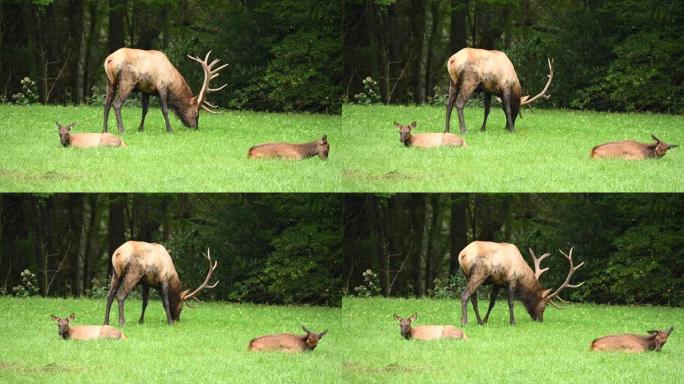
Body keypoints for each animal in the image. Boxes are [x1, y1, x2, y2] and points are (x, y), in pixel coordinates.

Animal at [456, 242, 584, 326]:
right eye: (543, 306)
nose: (540, 320)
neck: (523, 273)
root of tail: (462, 255)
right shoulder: (512, 279)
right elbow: (511, 302)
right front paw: (513, 322)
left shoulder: (497, 283)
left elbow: (492, 303)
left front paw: (485, 320)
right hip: (479, 274)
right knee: (464, 295)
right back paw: (464, 322)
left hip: (467, 276)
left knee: (473, 300)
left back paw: (479, 322)